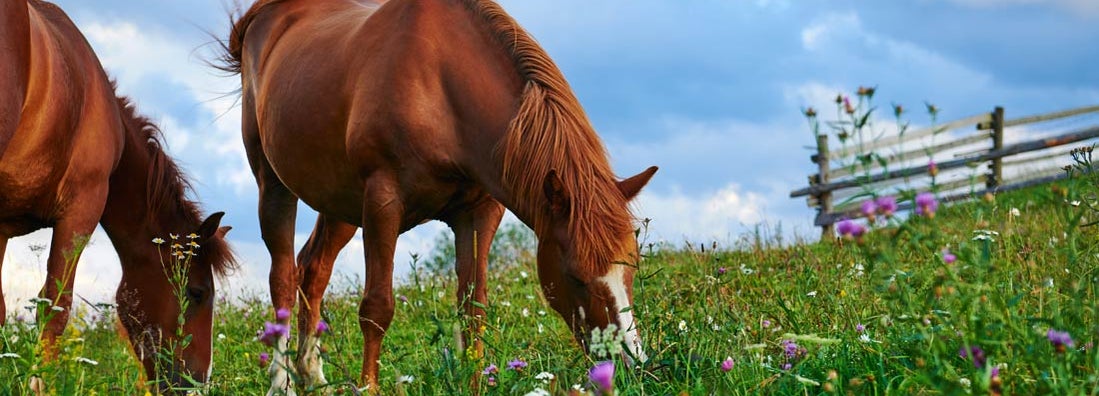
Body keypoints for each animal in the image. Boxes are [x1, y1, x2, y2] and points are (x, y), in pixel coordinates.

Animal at [218, 0, 655, 393]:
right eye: (575, 276)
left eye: (632, 266)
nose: (629, 363)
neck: (440, 87)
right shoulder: (383, 203)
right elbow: (377, 307)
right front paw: (368, 386)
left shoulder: (479, 213)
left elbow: (472, 306)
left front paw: (476, 382)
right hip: (274, 184)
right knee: (283, 278)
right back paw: (282, 383)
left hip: (339, 203)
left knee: (313, 270)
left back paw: (315, 376)